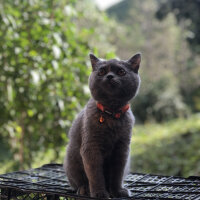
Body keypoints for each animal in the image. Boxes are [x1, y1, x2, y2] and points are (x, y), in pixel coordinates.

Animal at [63, 53, 141, 198]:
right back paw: (84, 189)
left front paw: (117, 191)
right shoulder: (91, 147)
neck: (112, 113)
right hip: (71, 159)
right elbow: (95, 174)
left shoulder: (121, 148)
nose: (109, 76)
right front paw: (99, 193)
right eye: (101, 71)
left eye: (121, 72)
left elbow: (117, 174)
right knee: (79, 182)